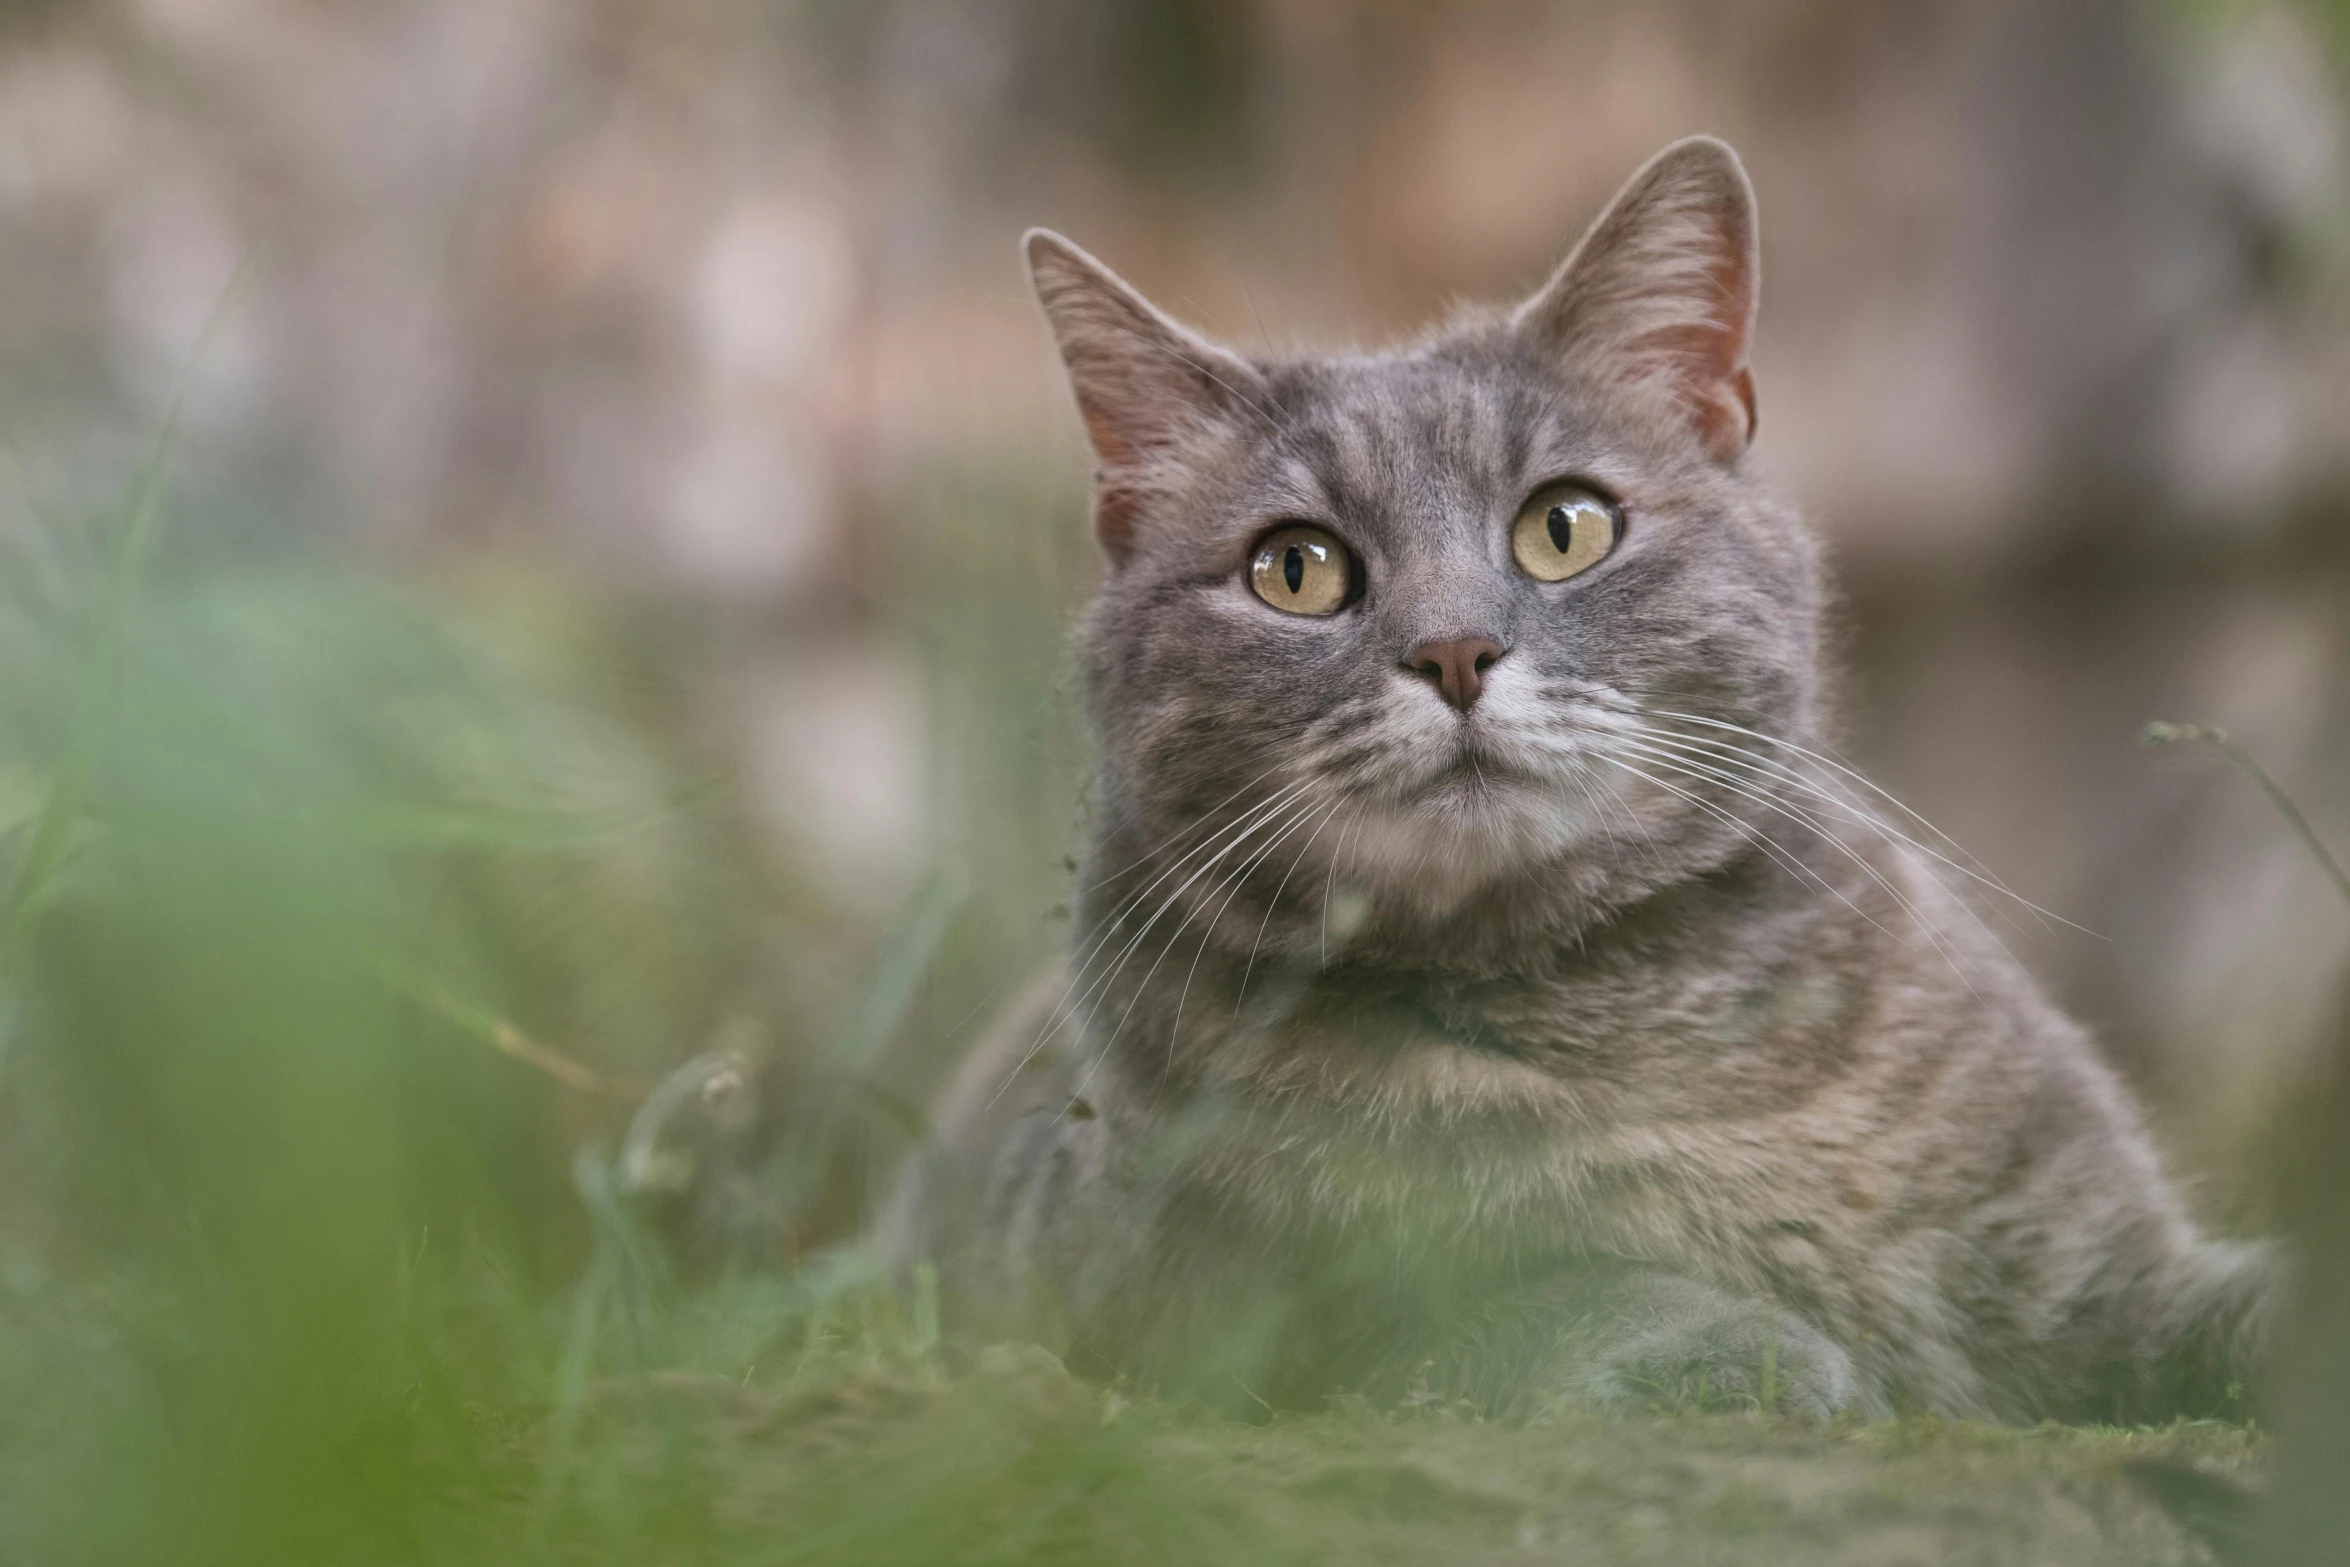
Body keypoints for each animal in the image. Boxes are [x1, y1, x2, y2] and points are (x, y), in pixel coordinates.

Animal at [883, 140, 2274, 1428]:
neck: (1633, 1023)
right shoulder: (1233, 1309)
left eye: (1564, 526)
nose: (1452, 650)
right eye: (1296, 568)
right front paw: (1763, 1349)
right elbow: (1544, 1295)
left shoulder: (2100, 1248)